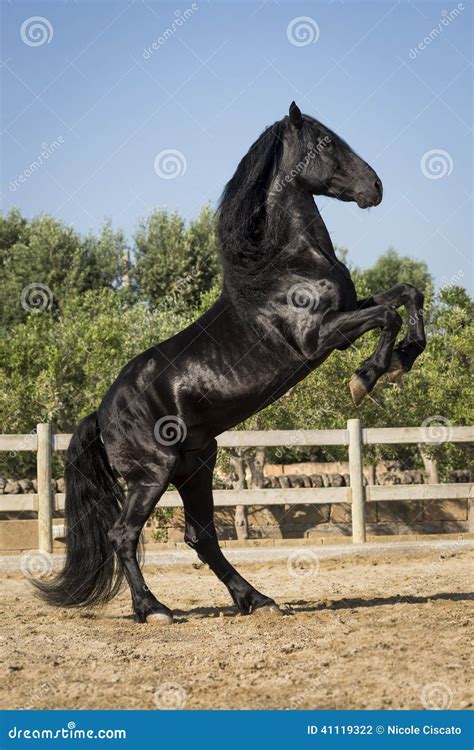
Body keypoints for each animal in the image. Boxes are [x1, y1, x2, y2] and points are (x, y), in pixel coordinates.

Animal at [34, 102, 426, 623]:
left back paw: (257, 600)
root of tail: (101, 414)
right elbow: (387, 314)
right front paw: (367, 377)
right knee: (124, 534)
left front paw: (404, 358)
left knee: (201, 538)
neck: (286, 266)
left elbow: (407, 294)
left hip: (196, 466)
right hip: (153, 473)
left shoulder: (348, 313)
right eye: (325, 141)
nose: (375, 188)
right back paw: (154, 609)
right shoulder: (320, 337)